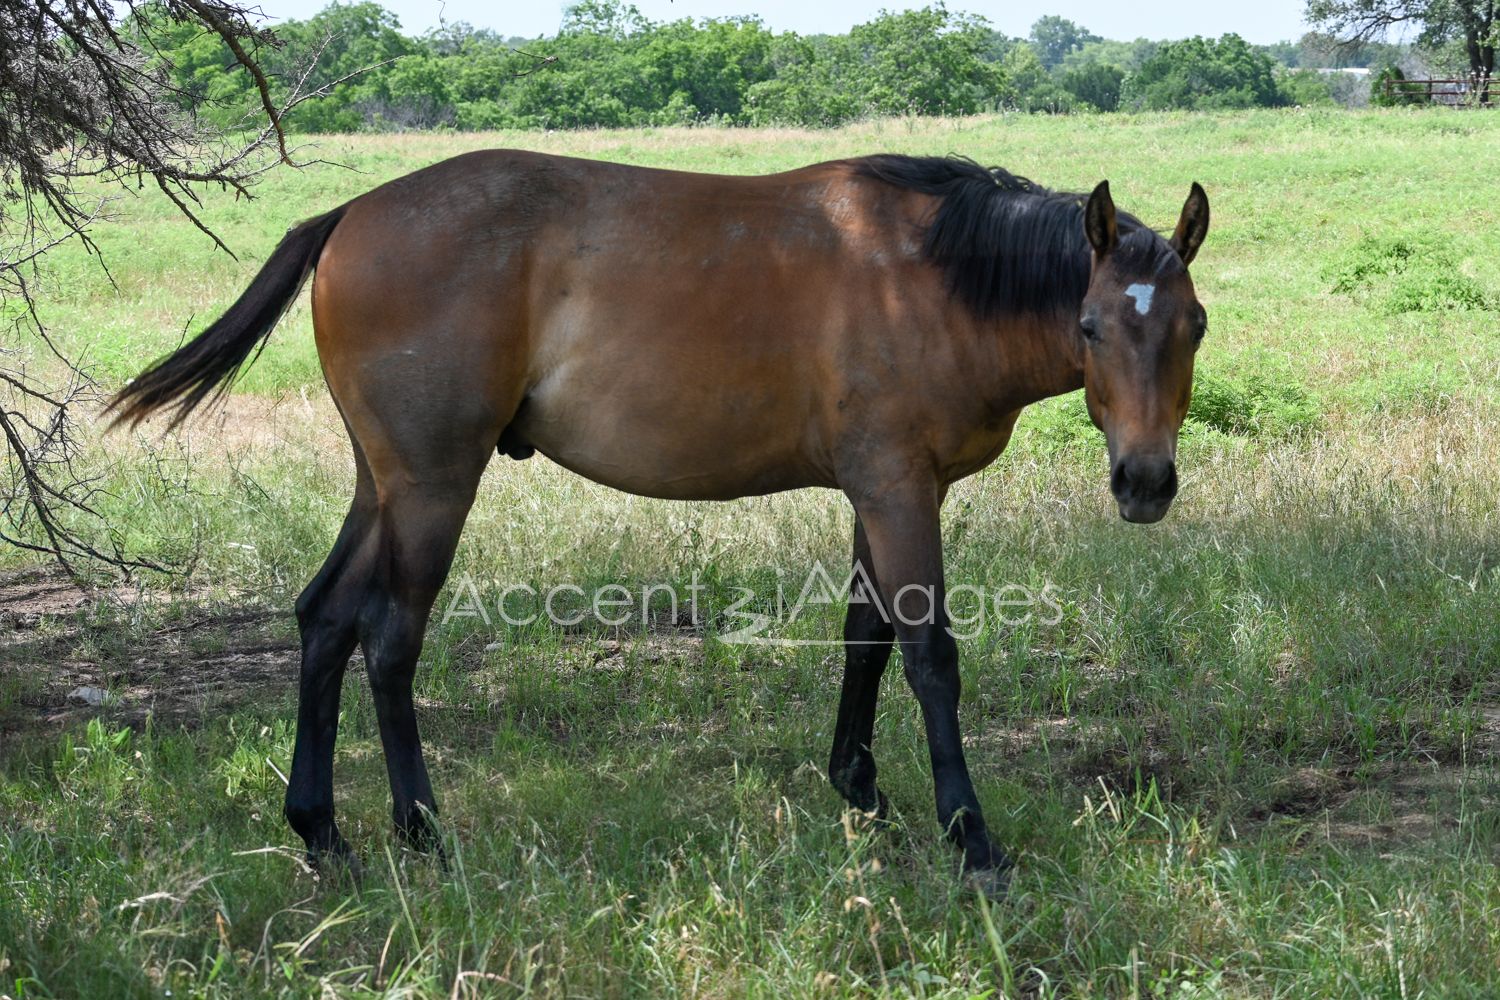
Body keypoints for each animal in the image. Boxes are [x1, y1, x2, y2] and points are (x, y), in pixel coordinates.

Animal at [112, 150, 1209, 892]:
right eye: (1091, 325)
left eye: (1192, 324)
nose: (1145, 481)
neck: (927, 276)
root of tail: (351, 215)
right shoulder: (898, 488)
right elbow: (929, 653)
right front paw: (968, 834)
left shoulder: (886, 491)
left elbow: (864, 637)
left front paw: (859, 786)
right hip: (430, 487)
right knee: (388, 638)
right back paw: (421, 828)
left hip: (379, 484)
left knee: (325, 618)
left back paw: (323, 830)